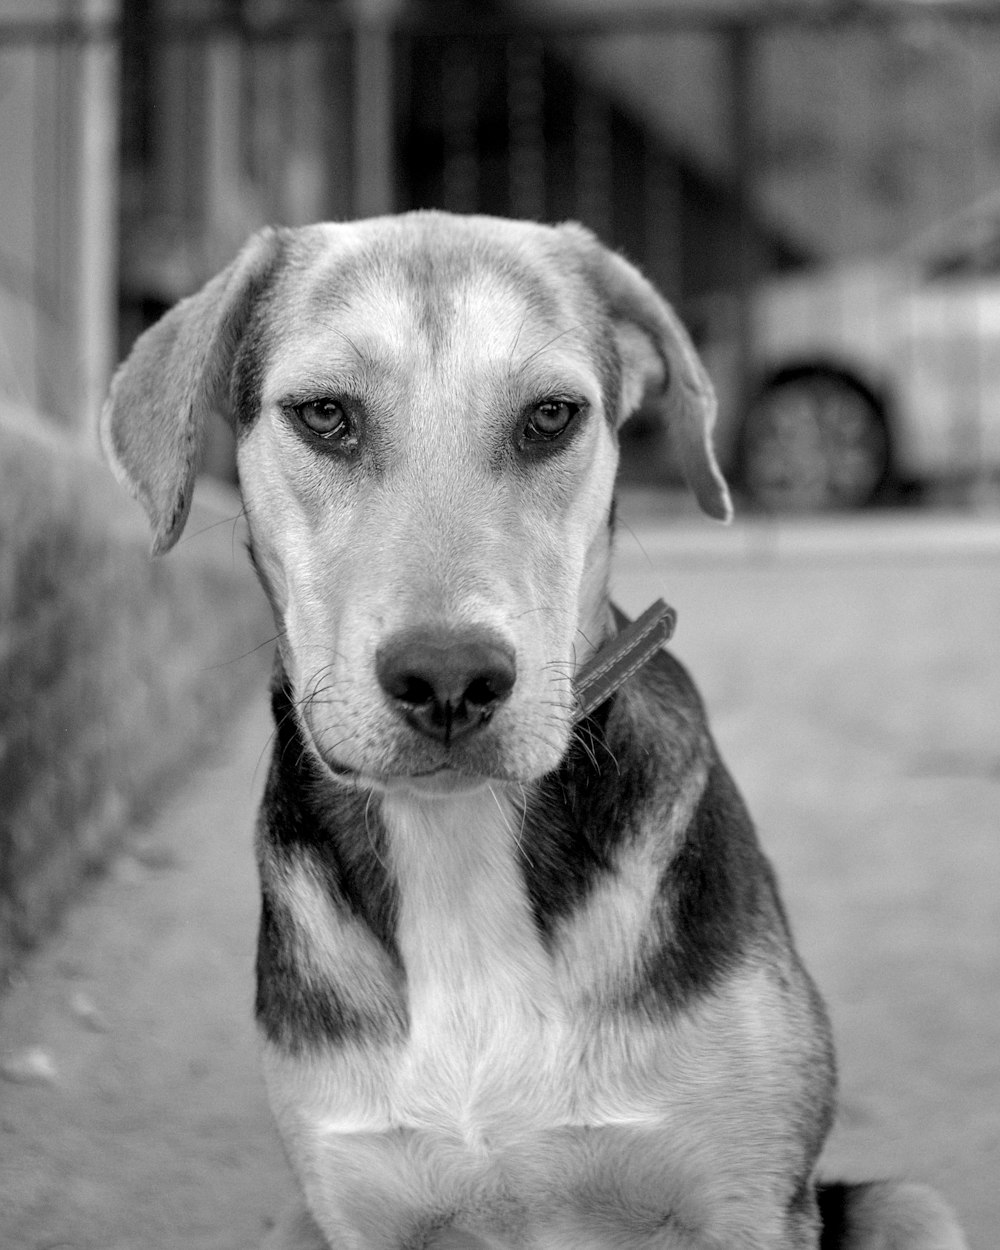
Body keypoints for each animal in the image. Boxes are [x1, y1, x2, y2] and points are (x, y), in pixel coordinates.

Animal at [99, 215, 960, 1250]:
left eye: (551, 417)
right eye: (324, 415)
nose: (449, 678)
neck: (458, 842)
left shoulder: (749, 1206)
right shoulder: (356, 1210)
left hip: (915, 1203)